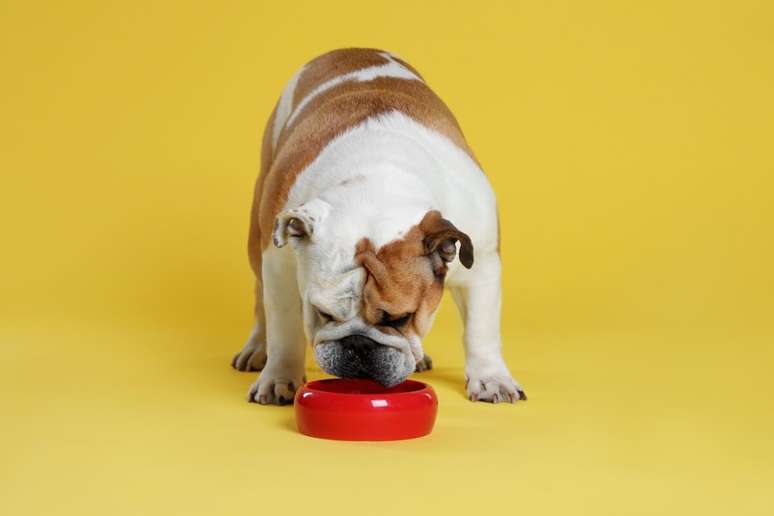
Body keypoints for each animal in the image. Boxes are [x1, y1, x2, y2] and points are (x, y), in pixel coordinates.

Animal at [230, 47, 528, 404]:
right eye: (323, 313)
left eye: (401, 319)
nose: (359, 343)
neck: (376, 187)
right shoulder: (279, 267)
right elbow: (284, 327)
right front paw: (279, 377)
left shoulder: (481, 263)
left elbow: (480, 330)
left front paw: (492, 378)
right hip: (258, 234)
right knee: (262, 301)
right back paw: (256, 349)